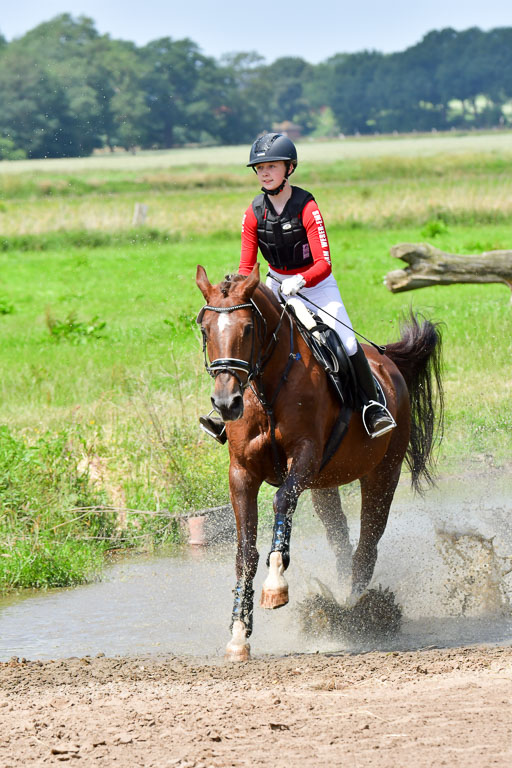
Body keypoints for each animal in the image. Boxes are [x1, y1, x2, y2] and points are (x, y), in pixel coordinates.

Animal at [196, 262, 444, 660]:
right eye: (205, 329)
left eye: (248, 328)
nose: (226, 403)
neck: (267, 390)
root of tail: (388, 361)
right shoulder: (242, 473)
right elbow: (245, 552)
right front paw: (238, 634)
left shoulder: (305, 456)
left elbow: (281, 502)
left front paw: (275, 586)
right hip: (323, 485)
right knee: (340, 539)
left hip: (382, 473)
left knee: (367, 543)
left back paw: (355, 612)